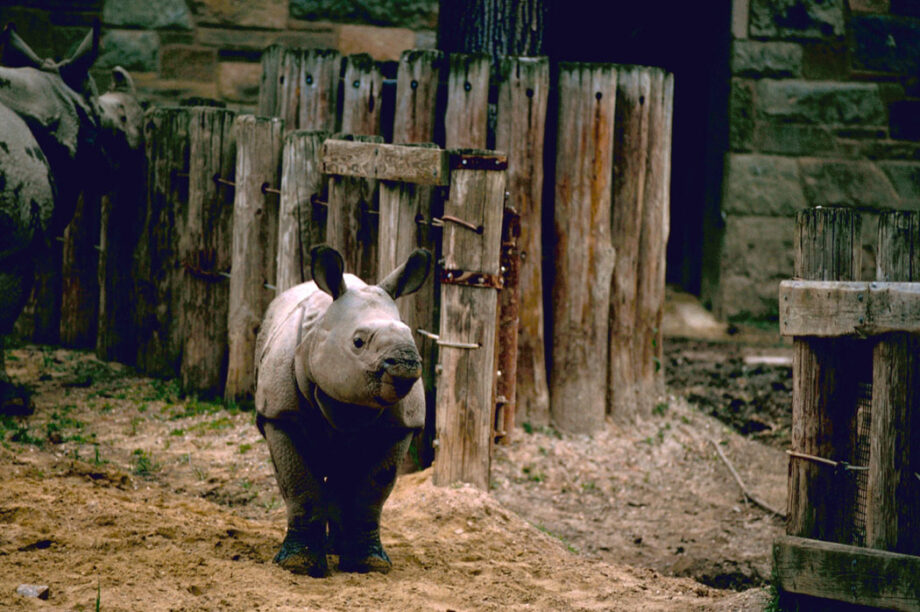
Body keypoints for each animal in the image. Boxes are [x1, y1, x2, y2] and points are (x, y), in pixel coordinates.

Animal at [255, 245, 431, 576]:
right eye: (358, 342)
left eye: (411, 336)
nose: (406, 363)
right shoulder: (280, 414)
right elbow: (299, 485)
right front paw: (299, 565)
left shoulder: (399, 427)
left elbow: (372, 493)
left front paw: (370, 564)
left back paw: (338, 549)